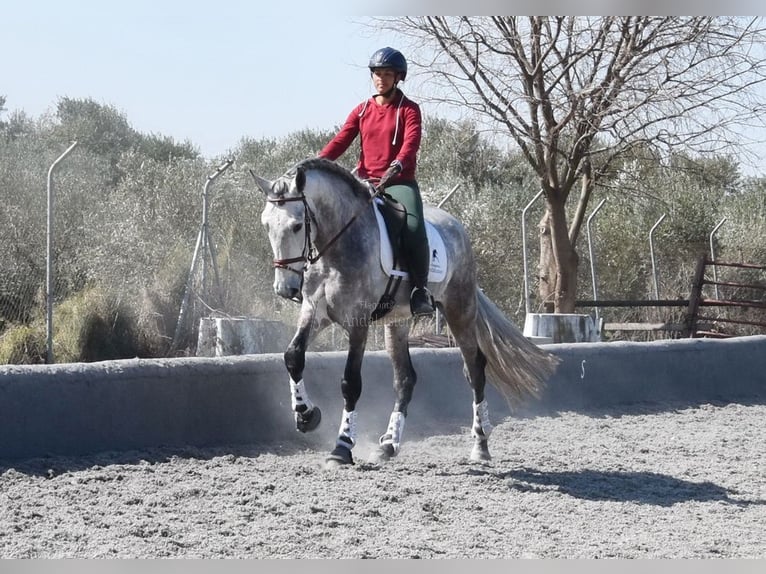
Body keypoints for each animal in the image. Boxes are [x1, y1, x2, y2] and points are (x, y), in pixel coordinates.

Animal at [252, 158, 560, 468]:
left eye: (296, 226)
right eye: (265, 225)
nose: (285, 288)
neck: (338, 244)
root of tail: (456, 226)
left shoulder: (358, 321)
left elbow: (350, 382)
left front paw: (342, 446)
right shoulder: (315, 312)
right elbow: (293, 356)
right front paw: (306, 415)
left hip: (459, 308)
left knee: (474, 370)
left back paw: (480, 446)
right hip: (398, 322)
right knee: (405, 379)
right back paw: (389, 444)